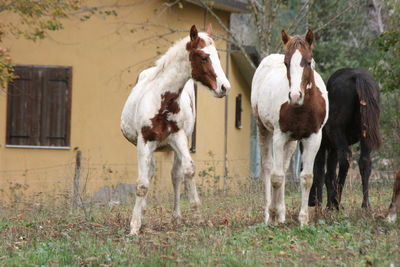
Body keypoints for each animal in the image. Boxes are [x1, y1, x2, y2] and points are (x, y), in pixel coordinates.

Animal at [120, 24, 230, 234]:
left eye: (218, 56)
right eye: (204, 57)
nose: (224, 87)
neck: (162, 101)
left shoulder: (178, 138)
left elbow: (188, 171)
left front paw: (198, 218)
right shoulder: (144, 141)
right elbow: (142, 184)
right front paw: (134, 226)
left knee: (175, 176)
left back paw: (176, 218)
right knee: (149, 173)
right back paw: (143, 215)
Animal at [252, 29, 330, 226]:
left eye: (308, 62)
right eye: (286, 63)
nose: (295, 96)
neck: (302, 107)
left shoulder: (313, 138)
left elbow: (307, 178)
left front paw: (303, 220)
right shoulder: (279, 136)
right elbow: (276, 177)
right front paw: (272, 215)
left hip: (293, 141)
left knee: (285, 166)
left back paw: (281, 214)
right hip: (263, 129)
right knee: (268, 168)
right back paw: (269, 214)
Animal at [310, 67, 382, 209]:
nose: (311, 201)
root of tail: (358, 77)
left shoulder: (322, 146)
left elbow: (319, 172)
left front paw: (321, 205)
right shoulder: (332, 147)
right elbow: (329, 174)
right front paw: (327, 206)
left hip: (337, 131)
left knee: (346, 157)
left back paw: (336, 202)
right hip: (366, 132)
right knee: (365, 161)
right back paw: (365, 205)